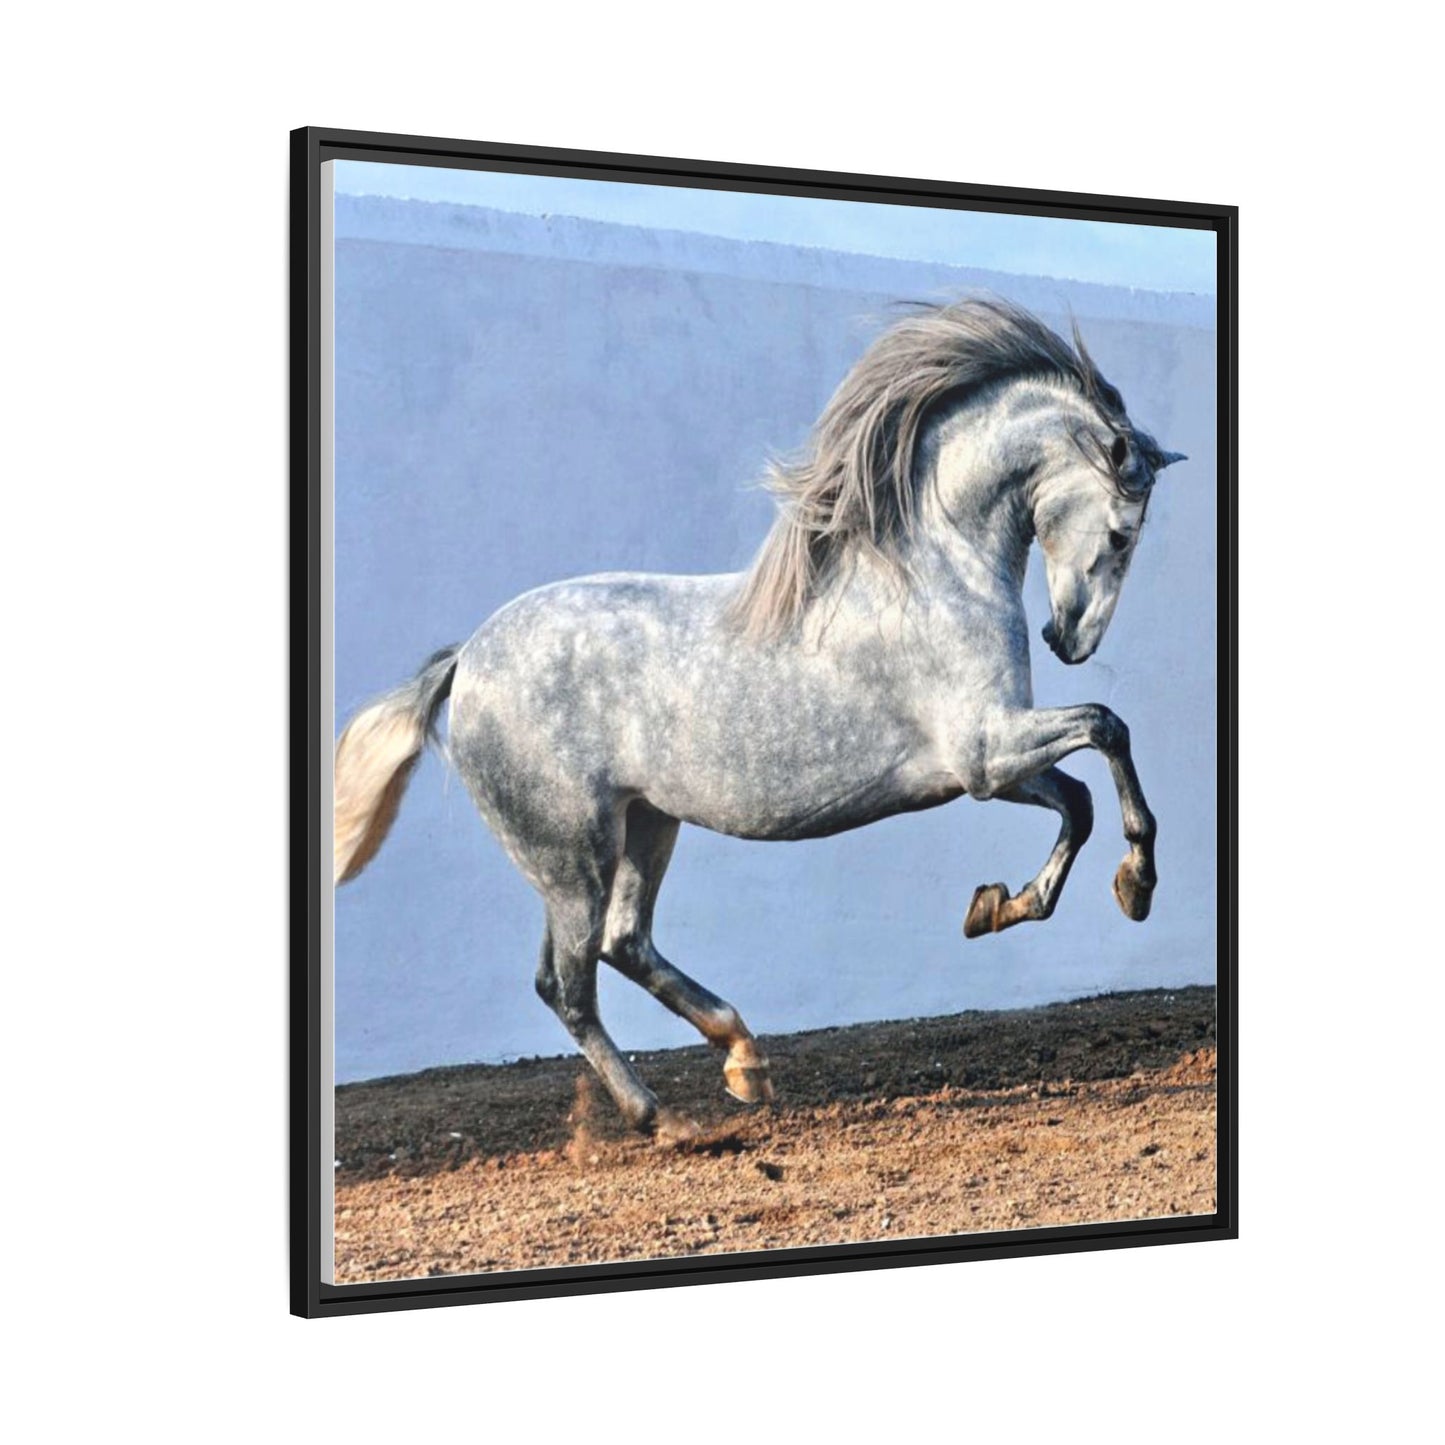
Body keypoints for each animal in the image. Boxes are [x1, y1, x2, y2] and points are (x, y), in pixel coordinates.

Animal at [332, 297, 1186, 1142]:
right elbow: (1108, 729)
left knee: (622, 942)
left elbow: (1077, 798)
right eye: (1121, 532)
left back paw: (743, 1057)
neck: (931, 573)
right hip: (569, 853)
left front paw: (1000, 906)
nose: (1068, 639)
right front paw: (1136, 884)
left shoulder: (979, 763)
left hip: (641, 826)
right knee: (567, 984)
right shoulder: (984, 750)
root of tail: (465, 662)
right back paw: (658, 1114)